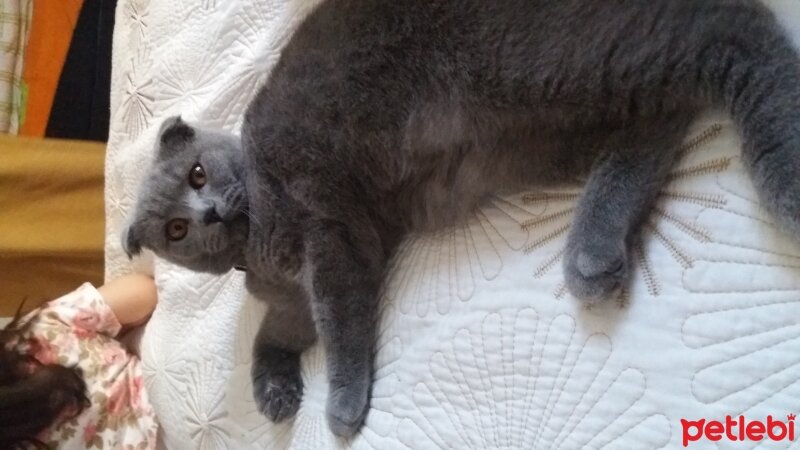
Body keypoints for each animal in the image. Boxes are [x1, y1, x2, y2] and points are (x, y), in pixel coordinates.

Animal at [122, 0, 800, 436]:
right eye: (175, 230)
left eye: (198, 175)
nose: (208, 212)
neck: (260, 238)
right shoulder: (300, 291)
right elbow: (279, 333)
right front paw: (275, 394)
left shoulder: (332, 237)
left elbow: (340, 324)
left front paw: (341, 407)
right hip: (540, 130)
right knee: (660, 114)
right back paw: (593, 254)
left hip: (542, 66)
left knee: (729, 30)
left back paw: (786, 174)